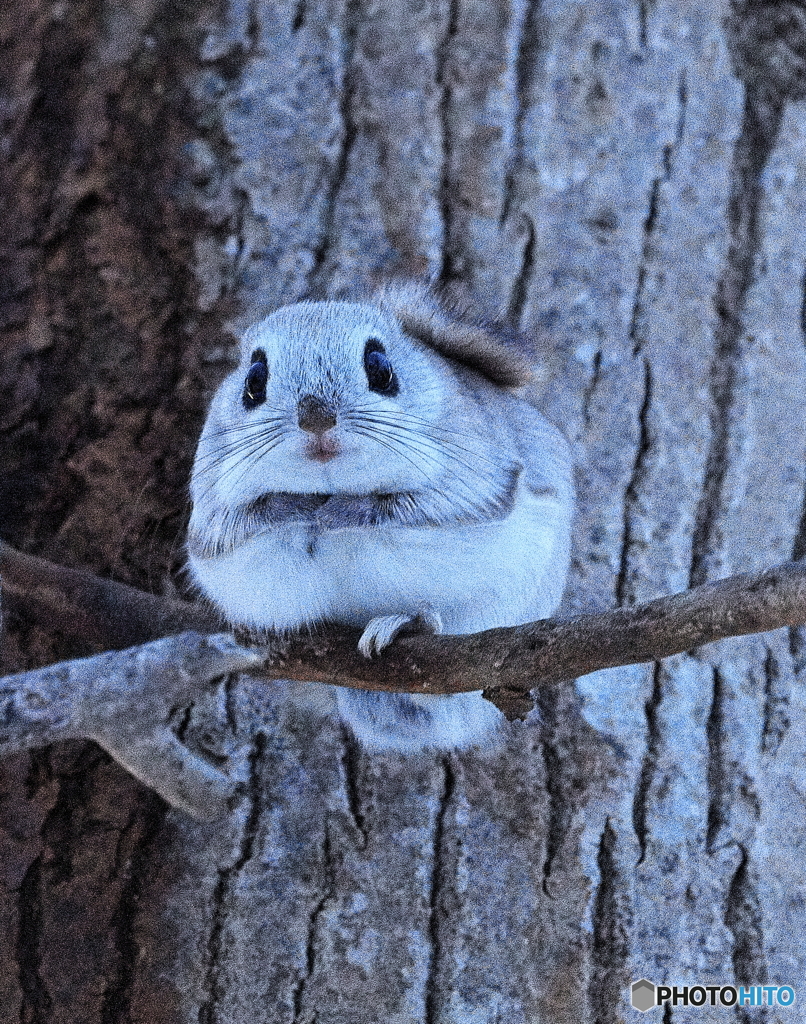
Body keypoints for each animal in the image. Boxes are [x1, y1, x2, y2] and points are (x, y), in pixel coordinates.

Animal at [187, 280, 573, 753]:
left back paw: (406, 624)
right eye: (253, 381)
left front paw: (342, 510)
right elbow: (229, 528)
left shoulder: (477, 476)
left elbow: (420, 505)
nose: (316, 417)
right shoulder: (210, 512)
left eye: (381, 368)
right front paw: (295, 507)